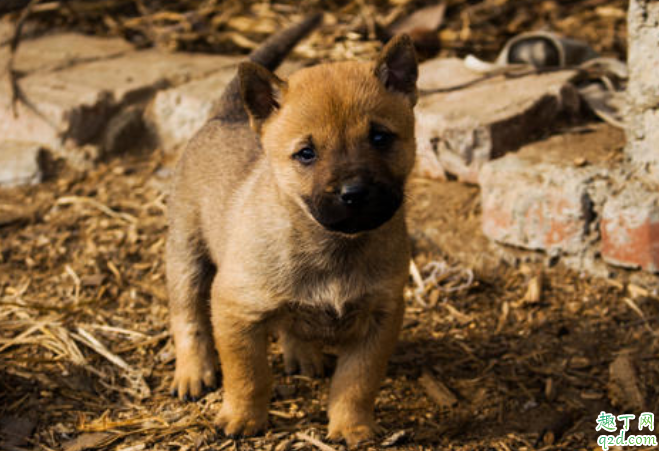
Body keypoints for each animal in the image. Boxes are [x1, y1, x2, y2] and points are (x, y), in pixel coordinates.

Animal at [168, 14, 420, 448]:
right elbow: (248, 376)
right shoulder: (234, 310)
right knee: (187, 317)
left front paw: (352, 427)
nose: (354, 193)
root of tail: (224, 115)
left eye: (380, 137)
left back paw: (301, 354)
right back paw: (193, 372)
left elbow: (357, 381)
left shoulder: (381, 318)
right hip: (186, 257)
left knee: (290, 323)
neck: (333, 246)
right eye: (306, 153)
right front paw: (243, 418)